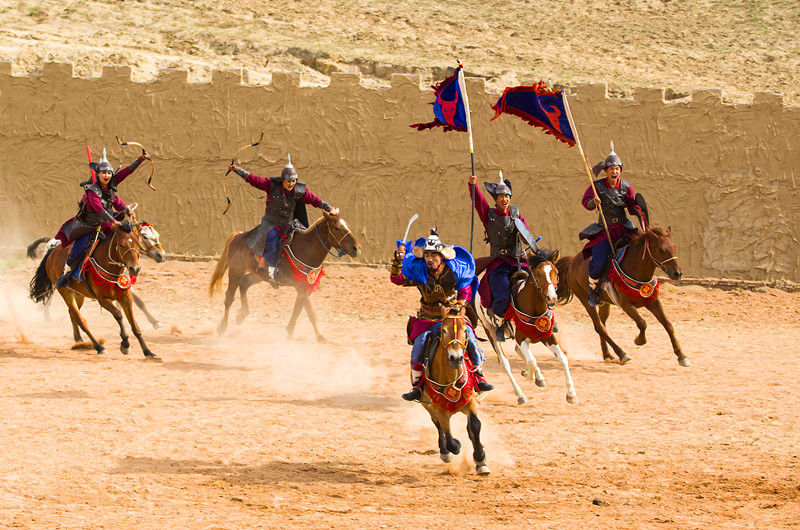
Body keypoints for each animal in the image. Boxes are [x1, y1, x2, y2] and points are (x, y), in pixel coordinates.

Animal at [28, 221, 159, 356]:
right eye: (121, 245)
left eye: (136, 244)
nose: (135, 268)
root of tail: (52, 251)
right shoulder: (103, 299)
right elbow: (118, 314)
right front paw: (125, 344)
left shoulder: (125, 297)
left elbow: (135, 325)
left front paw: (147, 351)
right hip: (65, 292)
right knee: (81, 321)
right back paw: (98, 346)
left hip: (78, 294)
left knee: (72, 314)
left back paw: (78, 339)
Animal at [212, 208, 362, 340]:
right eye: (336, 228)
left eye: (348, 225)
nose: (357, 248)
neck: (305, 249)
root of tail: (237, 236)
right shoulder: (301, 287)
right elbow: (310, 313)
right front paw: (319, 337)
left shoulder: (306, 287)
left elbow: (299, 310)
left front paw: (293, 333)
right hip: (235, 270)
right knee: (229, 297)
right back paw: (222, 327)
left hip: (258, 275)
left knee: (244, 283)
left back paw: (241, 315)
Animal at [416, 304, 490, 472]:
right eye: (444, 330)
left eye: (465, 331)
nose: (456, 358)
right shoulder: (439, 408)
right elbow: (449, 437)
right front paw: (456, 446)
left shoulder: (470, 401)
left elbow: (475, 426)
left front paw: (480, 458)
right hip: (426, 404)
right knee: (437, 425)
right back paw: (444, 452)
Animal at [476, 248, 576, 404]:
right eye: (539, 274)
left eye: (556, 273)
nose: (552, 299)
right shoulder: (521, 337)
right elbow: (531, 361)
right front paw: (529, 375)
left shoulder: (547, 336)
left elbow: (562, 358)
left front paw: (571, 394)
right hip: (489, 330)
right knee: (505, 362)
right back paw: (520, 394)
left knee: (517, 350)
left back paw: (538, 378)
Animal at [556, 225, 688, 366]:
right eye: (661, 249)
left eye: (674, 247)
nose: (678, 273)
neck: (636, 270)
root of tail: (572, 262)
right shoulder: (627, 305)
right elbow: (642, 323)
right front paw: (639, 340)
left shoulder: (653, 301)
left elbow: (668, 325)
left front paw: (682, 356)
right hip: (585, 301)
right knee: (599, 327)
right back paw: (622, 354)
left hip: (604, 303)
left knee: (602, 325)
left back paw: (608, 355)